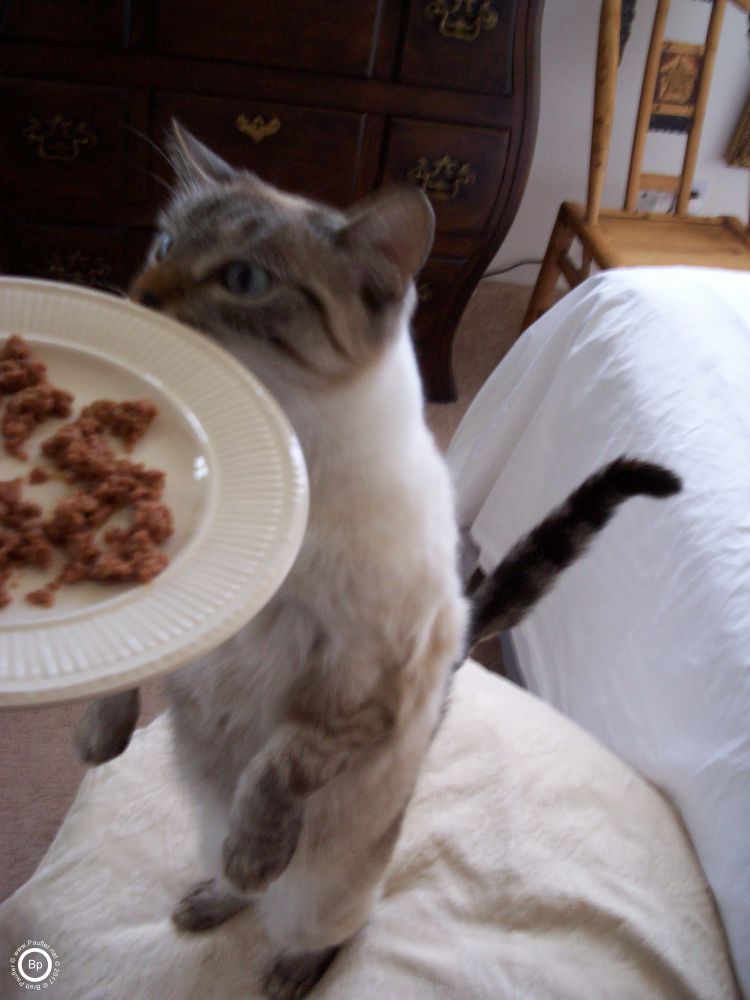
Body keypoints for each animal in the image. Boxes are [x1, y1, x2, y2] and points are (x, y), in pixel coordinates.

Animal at [75, 125, 680, 1000]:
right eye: (161, 246)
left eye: (243, 279)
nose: (137, 296)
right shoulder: (176, 585)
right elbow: (120, 663)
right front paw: (99, 740)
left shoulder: (358, 685)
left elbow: (276, 770)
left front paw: (257, 847)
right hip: (202, 818)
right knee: (236, 875)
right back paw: (209, 898)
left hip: (329, 882)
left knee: (323, 921)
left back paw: (282, 955)